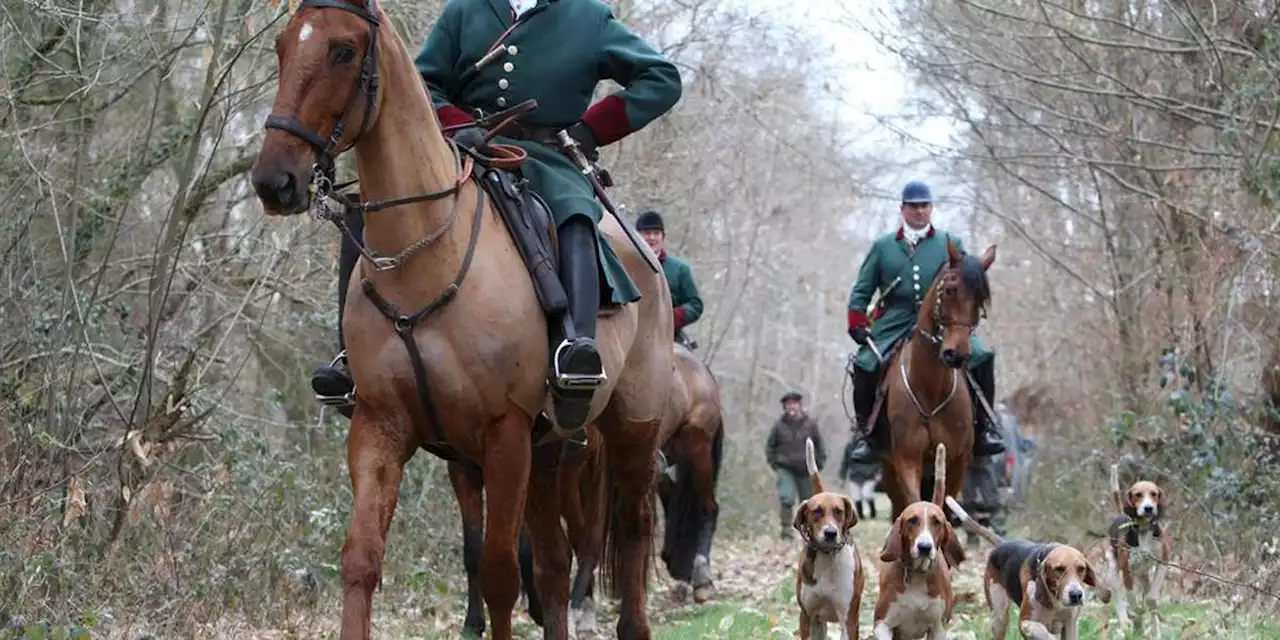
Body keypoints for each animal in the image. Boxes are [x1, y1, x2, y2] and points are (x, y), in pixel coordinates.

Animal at [244, 1, 675, 640]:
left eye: (343, 51)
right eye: (281, 46)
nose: (275, 181)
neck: (425, 257)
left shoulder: (504, 435)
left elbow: (498, 572)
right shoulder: (381, 426)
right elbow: (361, 560)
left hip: (631, 433)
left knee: (633, 531)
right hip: (553, 448)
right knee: (553, 566)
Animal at [880, 240, 988, 519]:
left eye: (981, 298)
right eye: (950, 290)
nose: (956, 354)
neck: (930, 388)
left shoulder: (958, 461)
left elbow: (944, 507)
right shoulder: (906, 458)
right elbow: (915, 504)